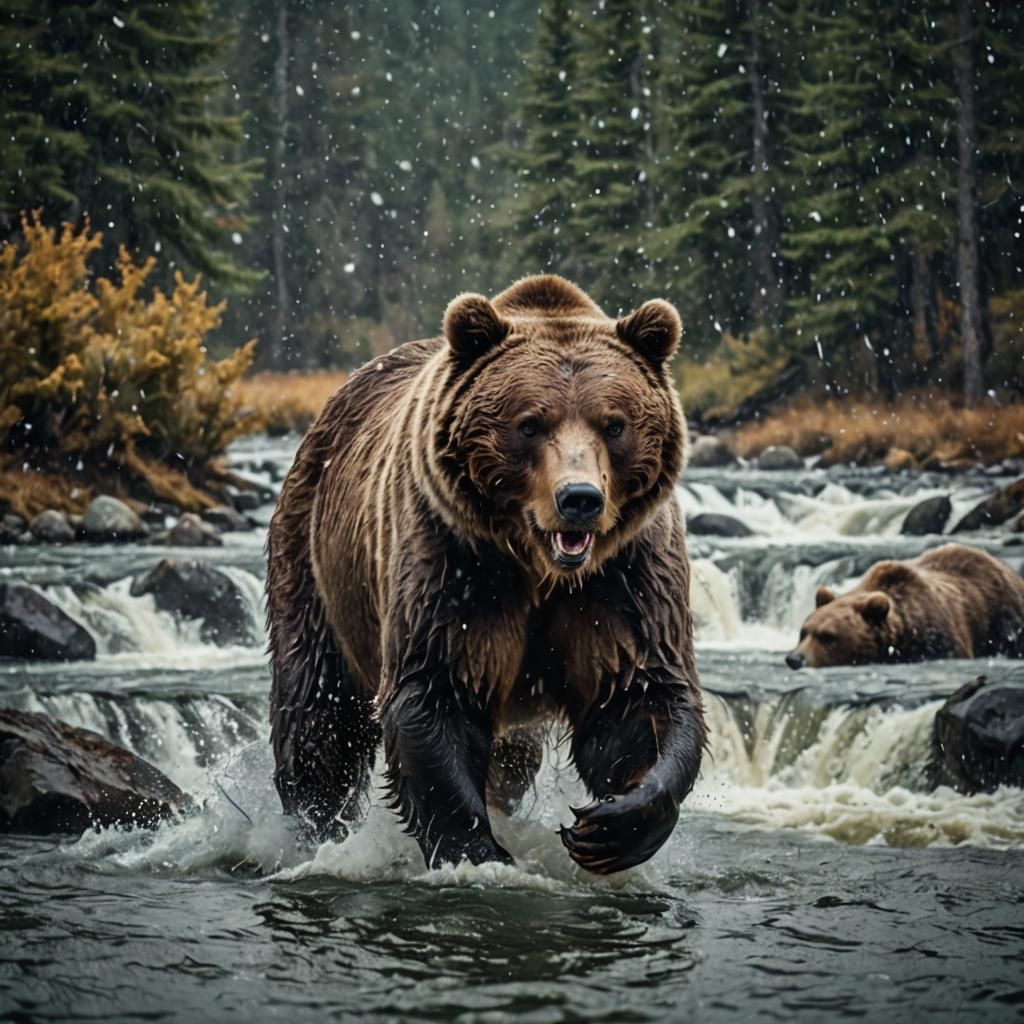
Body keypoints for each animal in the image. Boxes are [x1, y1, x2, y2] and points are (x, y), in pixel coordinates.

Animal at [265, 274, 707, 875]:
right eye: (530, 423)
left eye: (614, 424)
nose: (580, 499)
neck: (540, 569)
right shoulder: (456, 565)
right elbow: (435, 691)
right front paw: (479, 852)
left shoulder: (624, 576)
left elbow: (636, 693)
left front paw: (611, 824)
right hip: (317, 562)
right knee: (317, 714)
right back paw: (315, 825)